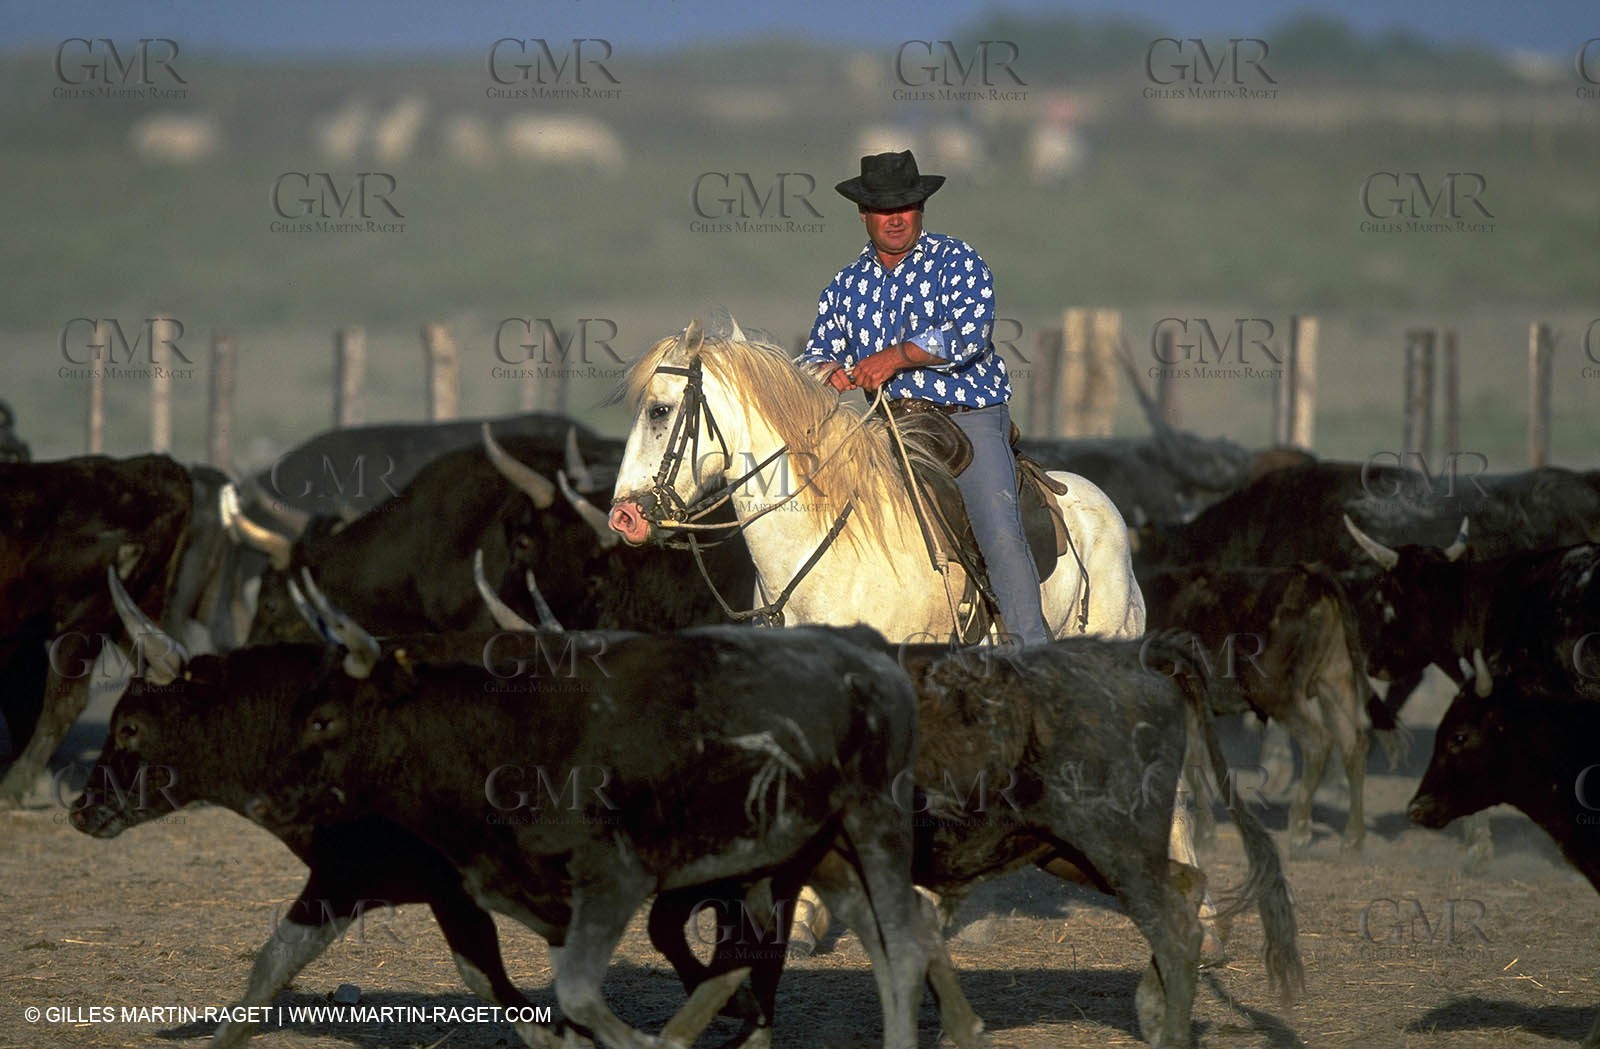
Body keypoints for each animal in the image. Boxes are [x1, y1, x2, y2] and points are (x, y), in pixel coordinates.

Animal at [247, 619, 947, 1049]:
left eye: (323, 720)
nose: (263, 795)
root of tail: (869, 650)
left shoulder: (614, 879)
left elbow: (582, 994)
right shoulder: (552, 905)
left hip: (875, 825)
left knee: (901, 940)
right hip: (820, 851)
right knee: (870, 941)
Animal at [1140, 564, 1384, 853]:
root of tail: (1309, 574)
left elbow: (1191, 762)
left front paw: (1203, 838)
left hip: (1277, 694)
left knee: (1319, 741)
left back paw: (1300, 831)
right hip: (1335, 681)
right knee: (1354, 746)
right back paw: (1352, 839)